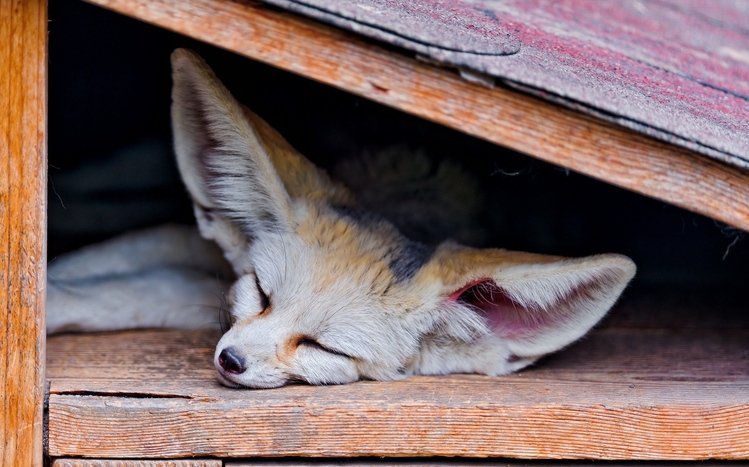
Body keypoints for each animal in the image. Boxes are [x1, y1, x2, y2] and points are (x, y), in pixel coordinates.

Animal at [47, 49, 636, 389]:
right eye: (262, 293)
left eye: (325, 348)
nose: (231, 360)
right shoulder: (203, 250)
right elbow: (108, 273)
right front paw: (46, 291)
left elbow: (136, 290)